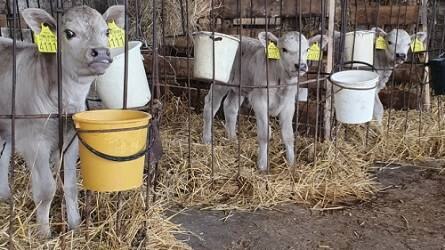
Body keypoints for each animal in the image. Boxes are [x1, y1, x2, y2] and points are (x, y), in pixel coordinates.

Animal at [0, 5, 123, 236]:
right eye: (69, 33)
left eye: (107, 32)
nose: (101, 52)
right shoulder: (33, 141)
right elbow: (46, 189)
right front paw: (44, 233)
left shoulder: (70, 138)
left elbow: (71, 184)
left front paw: (75, 225)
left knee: (2, 157)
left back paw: (4, 195)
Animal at [203, 31, 328, 172]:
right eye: (284, 49)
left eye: (307, 50)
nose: (301, 65)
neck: (281, 81)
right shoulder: (259, 101)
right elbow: (264, 134)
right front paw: (262, 165)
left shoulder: (289, 104)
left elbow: (288, 135)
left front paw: (291, 164)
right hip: (220, 82)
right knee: (210, 106)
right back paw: (207, 140)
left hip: (239, 87)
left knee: (230, 107)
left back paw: (232, 139)